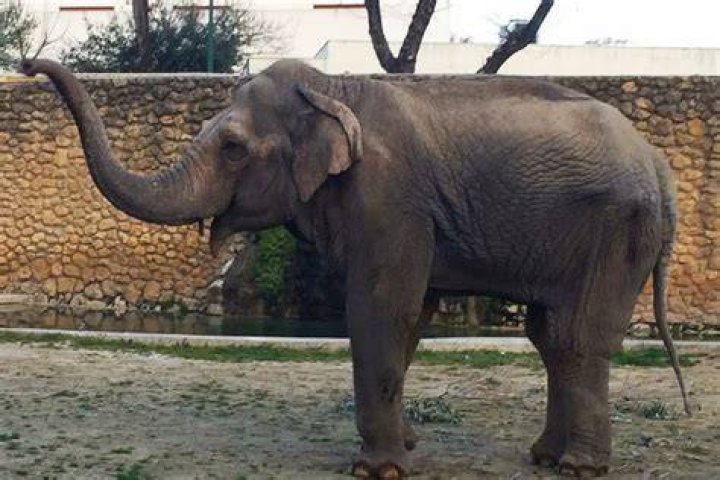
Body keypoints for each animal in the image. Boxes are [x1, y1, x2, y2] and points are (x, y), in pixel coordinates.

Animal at [21, 58, 689, 478]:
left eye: (233, 148)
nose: (26, 65)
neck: (335, 88)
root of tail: (659, 163)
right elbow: (411, 318)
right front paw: (406, 445)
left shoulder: (388, 200)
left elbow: (380, 307)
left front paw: (378, 469)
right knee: (548, 336)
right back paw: (545, 458)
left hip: (615, 230)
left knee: (577, 338)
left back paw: (579, 468)